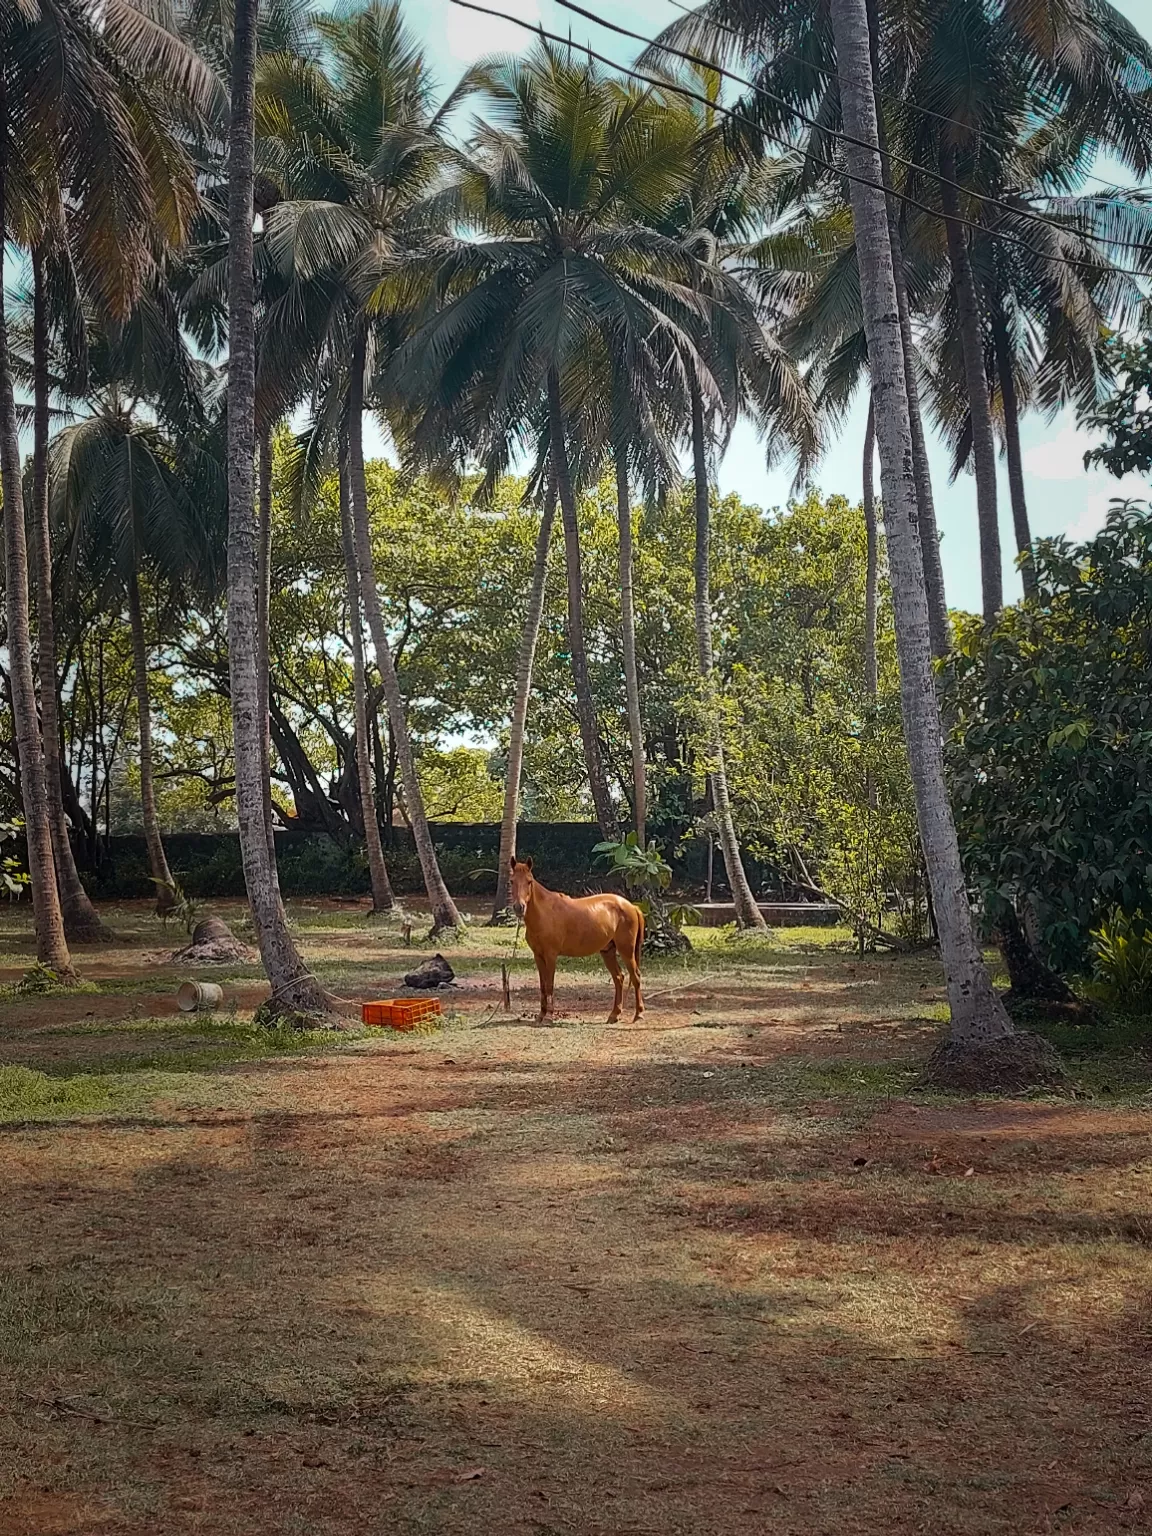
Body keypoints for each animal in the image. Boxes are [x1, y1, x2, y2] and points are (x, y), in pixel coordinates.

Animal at [509, 860, 645, 1026]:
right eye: (512, 881)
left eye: (529, 881)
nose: (519, 907)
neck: (544, 913)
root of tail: (632, 906)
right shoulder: (538, 956)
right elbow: (542, 986)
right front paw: (540, 1016)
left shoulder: (551, 956)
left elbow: (549, 985)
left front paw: (548, 1017)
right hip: (608, 952)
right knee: (619, 978)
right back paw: (614, 1015)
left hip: (626, 951)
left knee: (635, 977)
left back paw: (638, 1014)